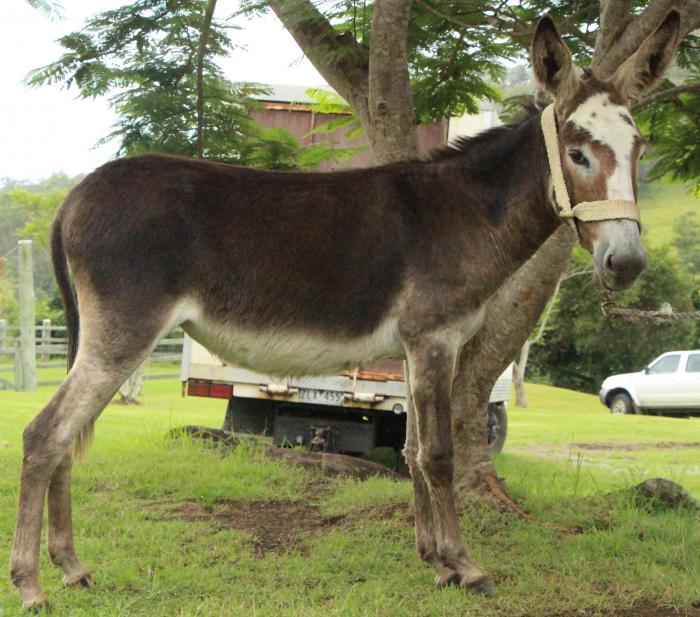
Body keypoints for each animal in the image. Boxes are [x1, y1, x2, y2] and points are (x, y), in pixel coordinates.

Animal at [10, 12, 680, 610]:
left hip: (107, 338)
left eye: (640, 148)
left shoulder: (414, 346)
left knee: (65, 438)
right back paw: (32, 585)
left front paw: (434, 561)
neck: (466, 211)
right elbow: (439, 455)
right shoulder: (435, 338)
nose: (627, 264)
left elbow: (411, 450)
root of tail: (75, 196)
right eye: (578, 153)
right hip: (124, 332)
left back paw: (72, 568)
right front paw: (466, 567)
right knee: (46, 435)